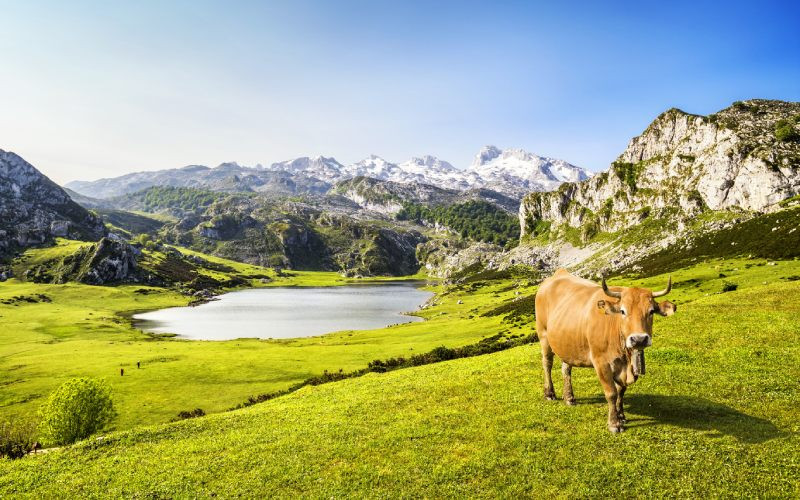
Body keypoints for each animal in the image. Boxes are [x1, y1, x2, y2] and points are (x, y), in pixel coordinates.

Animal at [536, 270, 676, 434]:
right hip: (543, 335)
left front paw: (621, 415)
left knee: (566, 369)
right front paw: (614, 423)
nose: (639, 339)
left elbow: (621, 390)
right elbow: (611, 393)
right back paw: (549, 393)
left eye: (651, 311)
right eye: (622, 311)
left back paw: (569, 397)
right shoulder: (601, 362)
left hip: (567, 344)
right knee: (547, 364)